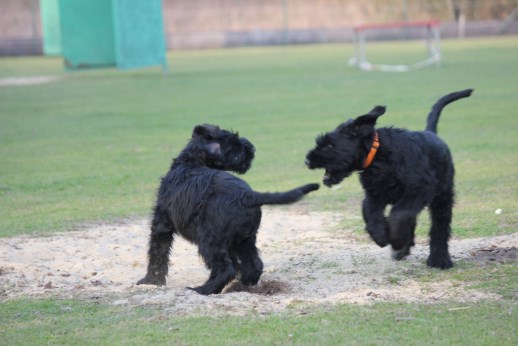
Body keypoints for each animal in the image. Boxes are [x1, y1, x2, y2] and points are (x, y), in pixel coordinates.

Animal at [136, 124, 318, 294]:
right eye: (236, 142)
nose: (252, 148)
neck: (191, 162)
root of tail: (248, 196)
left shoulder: (161, 224)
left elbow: (158, 253)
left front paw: (151, 281)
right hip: (245, 239)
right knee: (254, 264)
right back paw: (241, 284)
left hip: (210, 241)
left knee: (225, 268)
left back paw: (203, 289)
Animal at [308, 89, 476, 268]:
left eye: (329, 145)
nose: (307, 160)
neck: (378, 155)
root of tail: (431, 133)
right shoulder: (374, 194)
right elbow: (371, 213)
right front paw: (381, 236)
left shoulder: (418, 190)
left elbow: (398, 215)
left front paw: (395, 239)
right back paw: (405, 248)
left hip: (443, 196)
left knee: (440, 226)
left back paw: (439, 259)